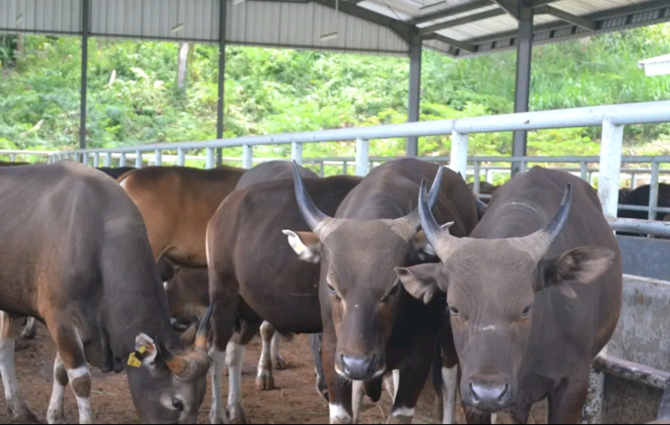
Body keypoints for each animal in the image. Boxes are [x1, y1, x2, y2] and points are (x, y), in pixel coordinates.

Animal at [0, 161, 213, 422]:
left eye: (201, 400)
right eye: (176, 402)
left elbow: (60, 371)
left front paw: (54, 414)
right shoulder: (61, 322)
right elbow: (80, 381)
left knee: (5, 346)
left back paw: (18, 407)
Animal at [209, 171, 362, 420]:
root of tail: (225, 207)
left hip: (252, 305)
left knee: (235, 349)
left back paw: (236, 408)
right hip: (223, 294)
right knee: (217, 350)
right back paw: (217, 413)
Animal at [286, 159, 480, 424]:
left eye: (394, 288)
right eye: (331, 287)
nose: (358, 364)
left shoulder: (418, 360)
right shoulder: (332, 352)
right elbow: (343, 413)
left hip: (450, 334)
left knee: (449, 382)